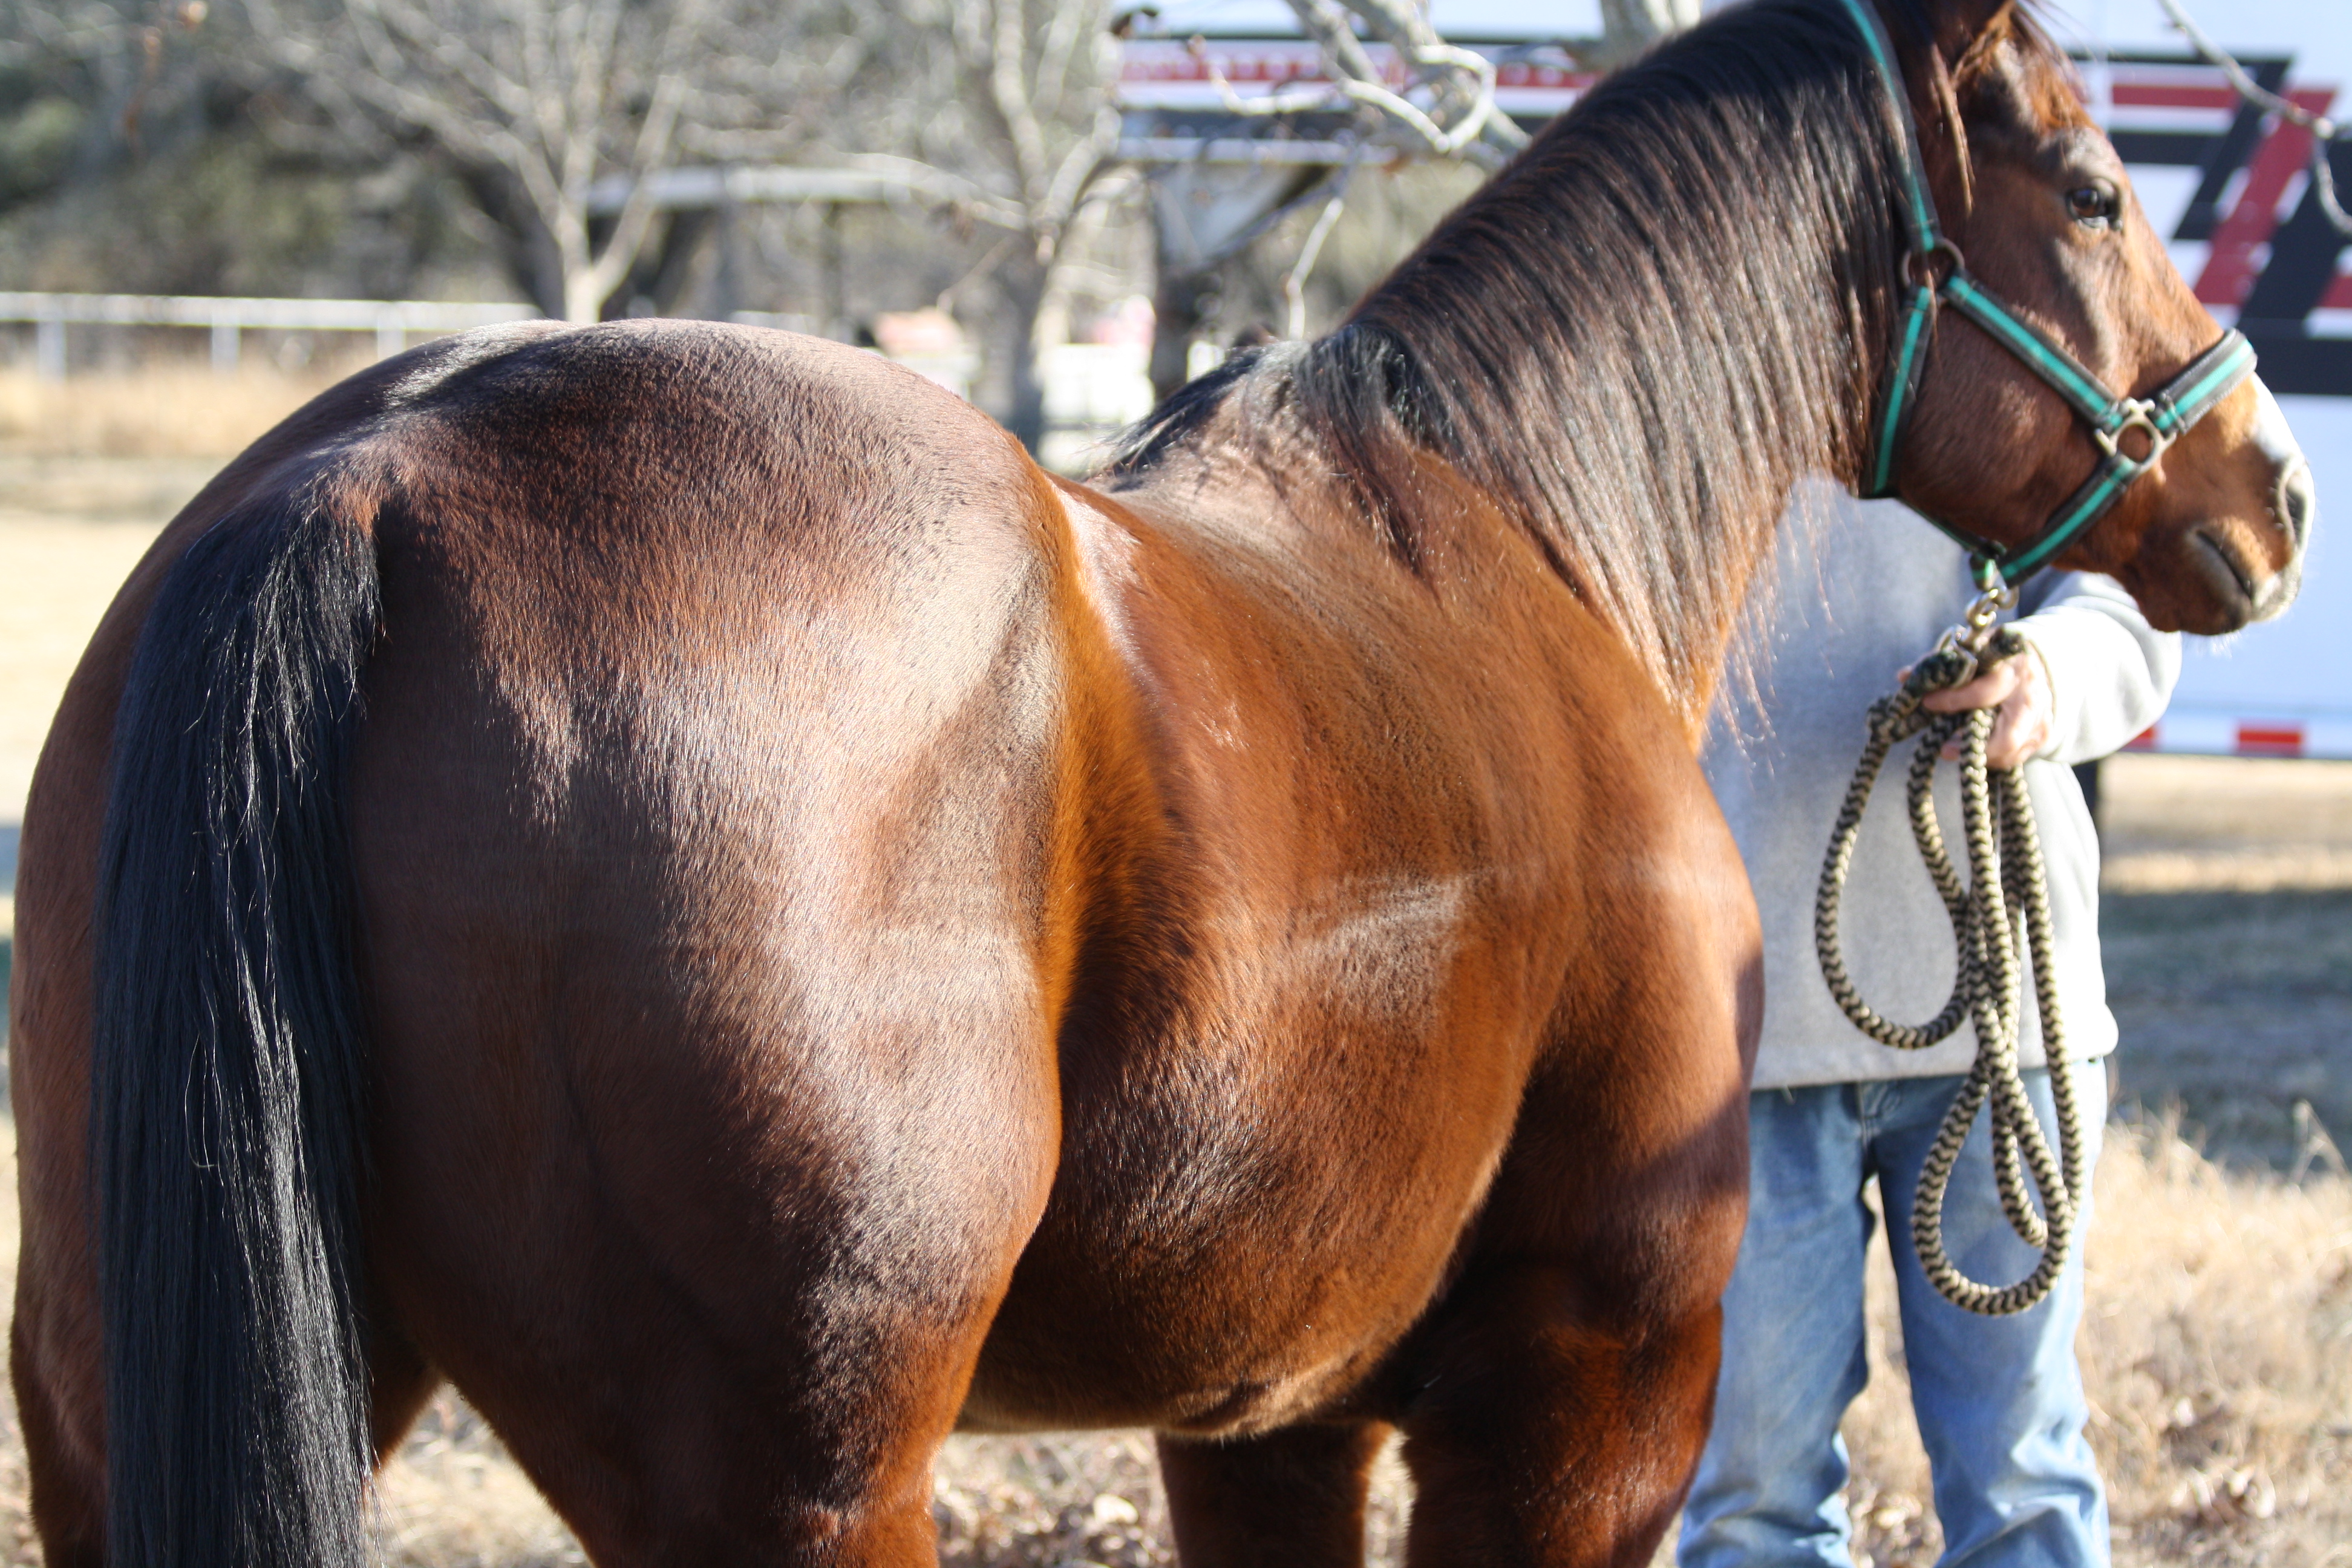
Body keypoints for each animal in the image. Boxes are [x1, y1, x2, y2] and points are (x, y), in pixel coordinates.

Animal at [8, 0, 2311, 1560]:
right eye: (2097, 185)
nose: (2268, 487)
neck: (1528, 536)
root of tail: (379, 479)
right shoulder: (1585, 1400)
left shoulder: (1263, 1416)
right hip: (800, 1478)